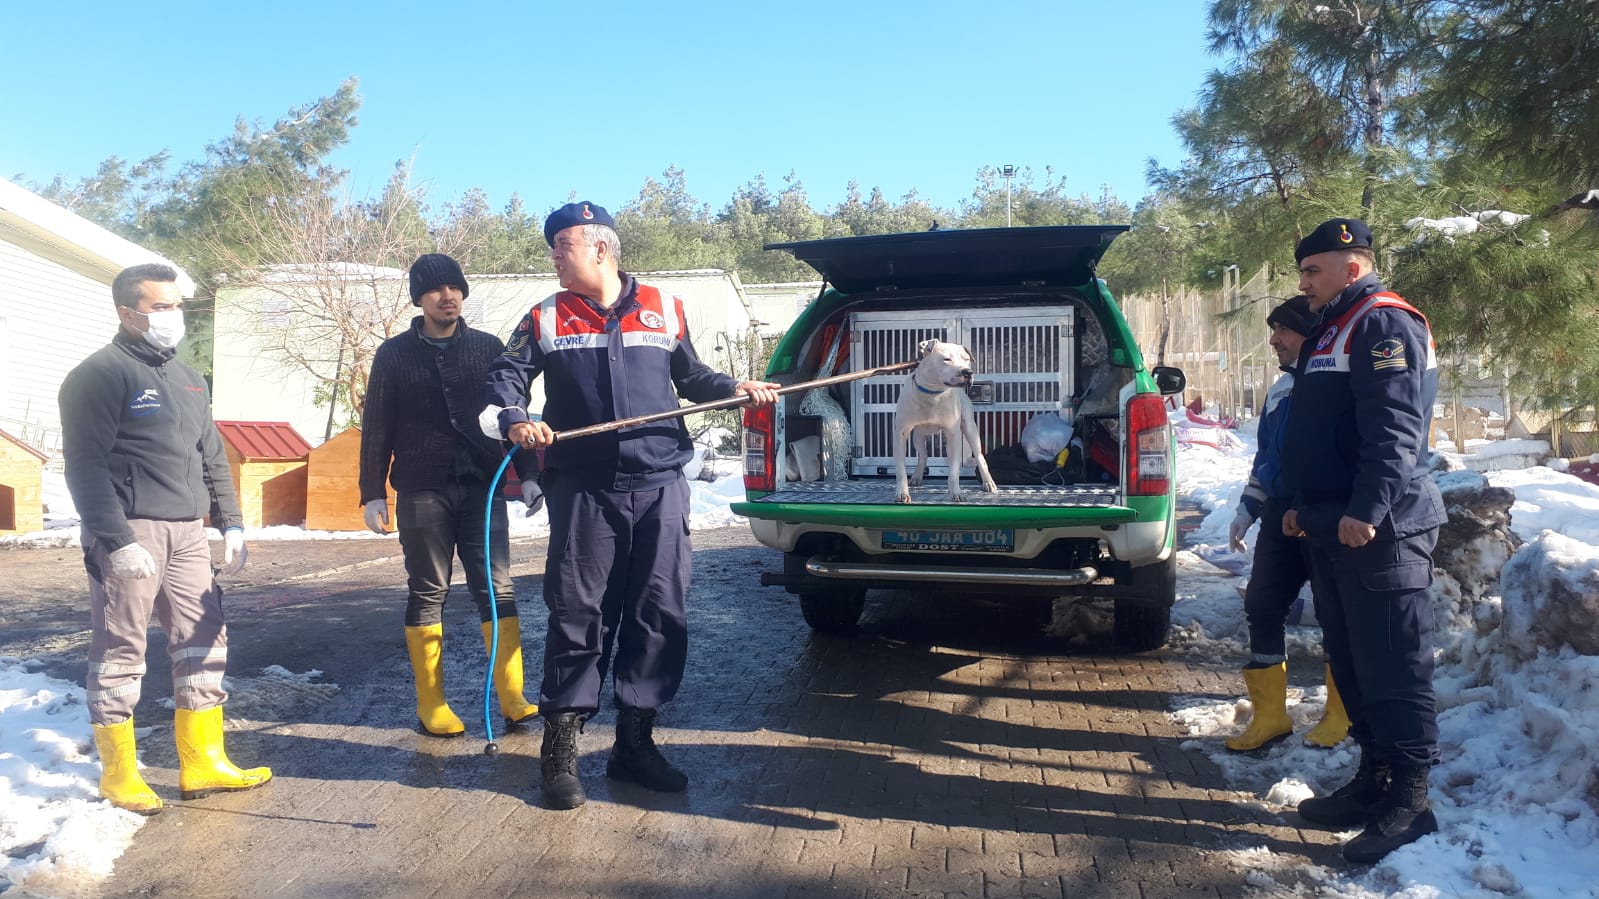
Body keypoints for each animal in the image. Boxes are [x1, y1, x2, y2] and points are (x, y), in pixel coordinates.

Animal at [895, 337, 991, 499]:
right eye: (947, 359)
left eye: (966, 360)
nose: (968, 372)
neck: (932, 394)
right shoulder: (901, 434)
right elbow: (901, 469)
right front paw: (902, 493)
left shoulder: (954, 434)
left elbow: (954, 471)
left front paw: (956, 492)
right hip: (918, 436)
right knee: (923, 455)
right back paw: (917, 476)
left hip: (970, 430)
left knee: (979, 456)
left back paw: (988, 482)